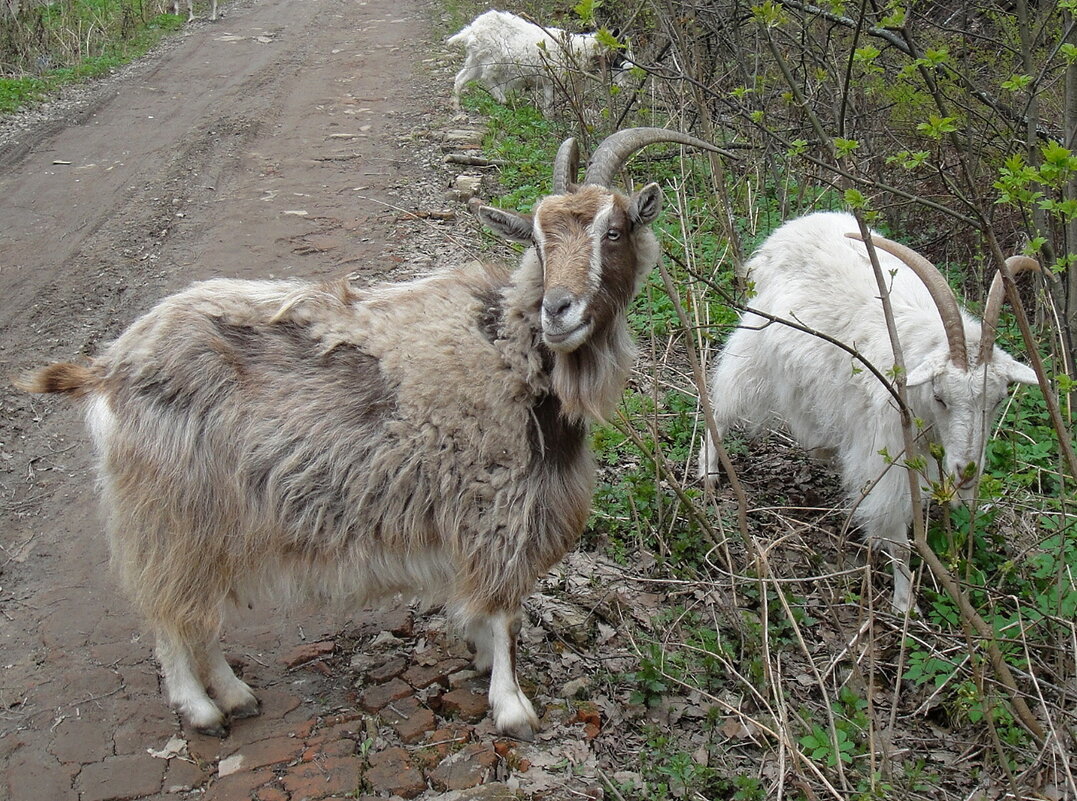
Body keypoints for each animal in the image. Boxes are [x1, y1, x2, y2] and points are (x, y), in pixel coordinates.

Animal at [445, 9, 628, 110]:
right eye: (621, 51)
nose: (628, 70)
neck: (578, 50)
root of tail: (471, 30)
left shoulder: (550, 81)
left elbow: (550, 102)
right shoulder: (552, 77)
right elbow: (549, 103)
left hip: (476, 59)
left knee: (461, 78)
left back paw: (456, 105)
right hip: (493, 58)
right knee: (487, 78)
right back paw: (501, 98)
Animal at [702, 213, 1038, 611]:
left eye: (998, 399)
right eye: (940, 397)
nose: (967, 471)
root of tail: (791, 228)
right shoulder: (890, 449)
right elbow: (898, 536)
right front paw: (904, 604)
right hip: (755, 340)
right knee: (724, 403)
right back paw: (708, 471)